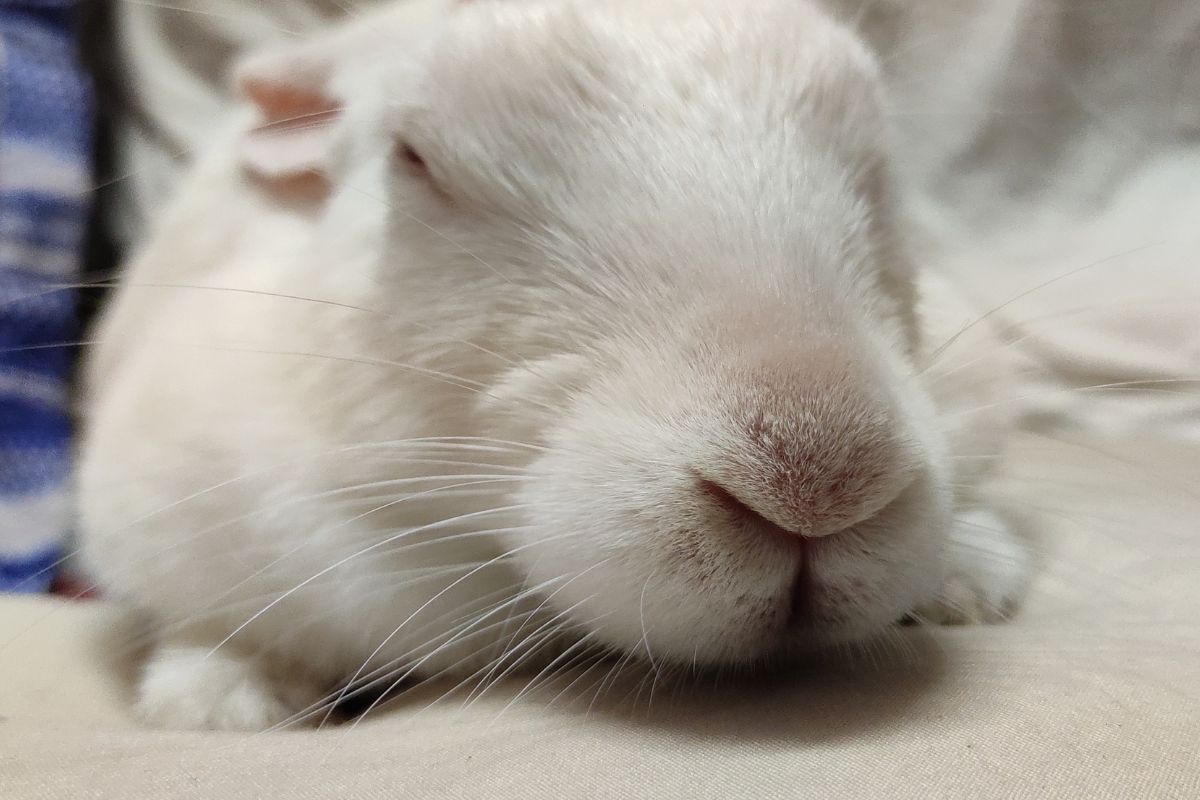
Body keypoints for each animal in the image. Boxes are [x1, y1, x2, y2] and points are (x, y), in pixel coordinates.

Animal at [77, 0, 1031, 731]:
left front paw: (978, 583)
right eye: (414, 158)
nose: (823, 482)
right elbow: (215, 626)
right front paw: (219, 704)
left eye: (877, 167)